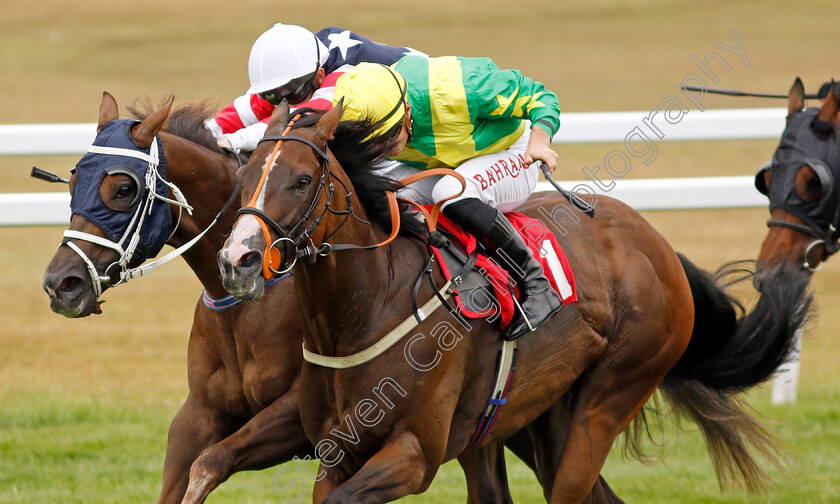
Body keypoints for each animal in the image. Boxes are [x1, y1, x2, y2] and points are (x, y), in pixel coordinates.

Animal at [42, 92, 620, 502]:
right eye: (72, 181)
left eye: (122, 188)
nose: (61, 284)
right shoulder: (200, 413)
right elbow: (189, 473)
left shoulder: (303, 420)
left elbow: (218, 462)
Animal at [217, 100, 812, 502]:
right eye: (243, 176)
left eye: (300, 180)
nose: (238, 259)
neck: (366, 310)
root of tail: (656, 245)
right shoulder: (335, 450)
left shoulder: (415, 452)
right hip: (526, 417)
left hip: (611, 395)